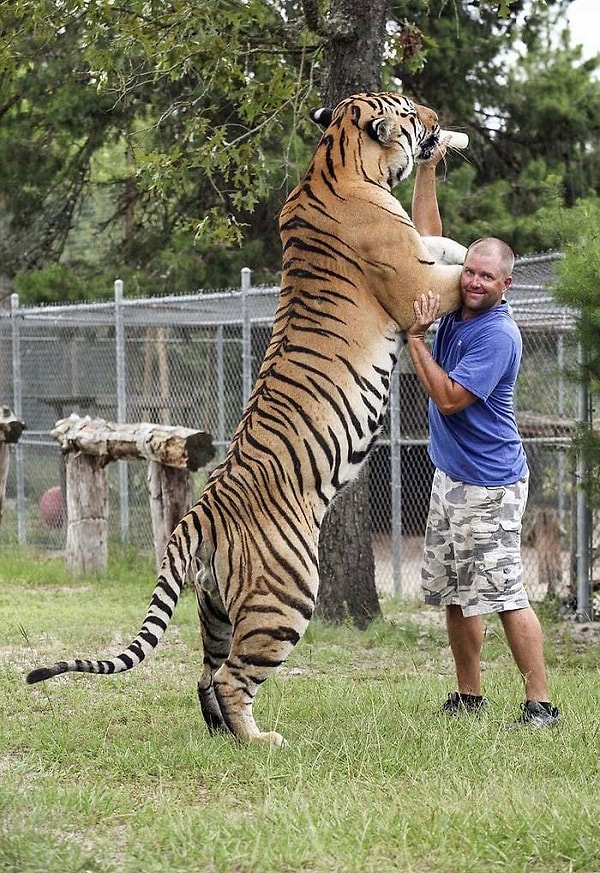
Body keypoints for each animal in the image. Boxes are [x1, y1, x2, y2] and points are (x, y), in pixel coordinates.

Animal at [25, 92, 466, 744]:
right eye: (411, 110)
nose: (438, 120)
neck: (337, 160)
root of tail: (196, 515)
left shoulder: (418, 252)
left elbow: (445, 245)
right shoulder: (414, 285)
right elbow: (454, 271)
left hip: (215, 608)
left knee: (206, 674)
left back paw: (224, 738)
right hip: (286, 597)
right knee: (233, 677)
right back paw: (260, 741)